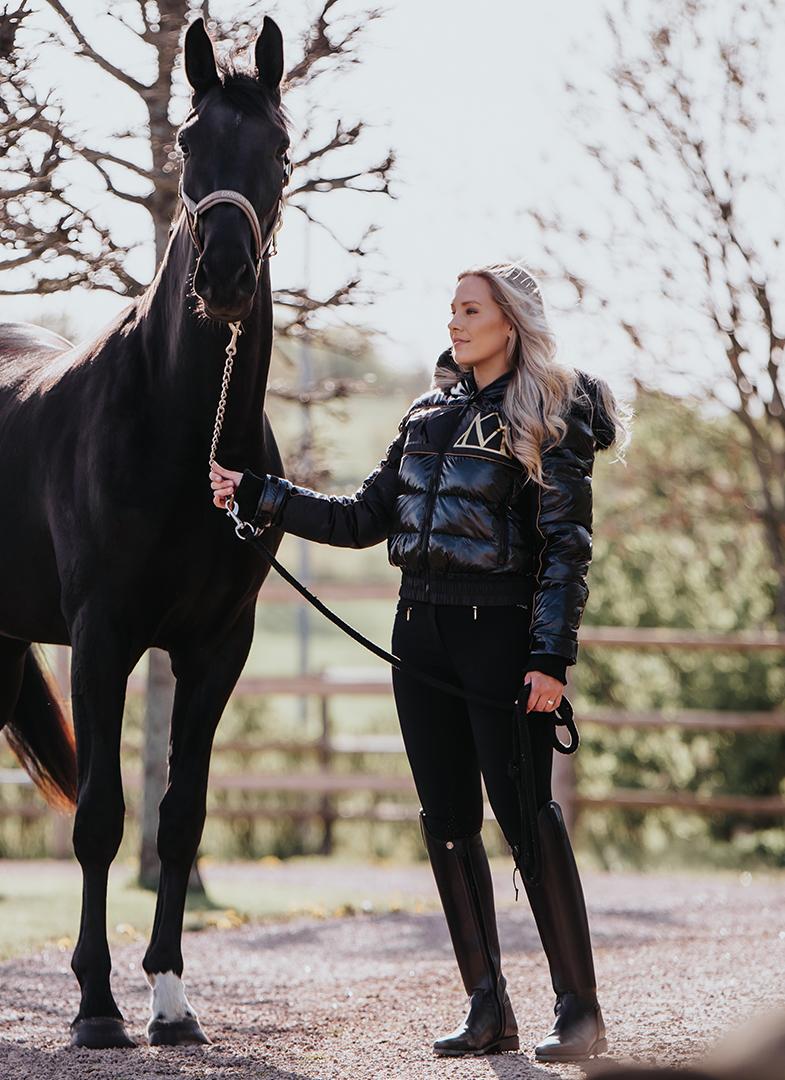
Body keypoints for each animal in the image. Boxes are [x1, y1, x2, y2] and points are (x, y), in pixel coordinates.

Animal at [0, 16, 290, 1048]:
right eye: (188, 145)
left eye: (281, 148)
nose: (226, 276)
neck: (180, 428)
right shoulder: (102, 637)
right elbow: (98, 816)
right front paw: (94, 1006)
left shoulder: (216, 648)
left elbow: (181, 816)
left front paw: (168, 1001)